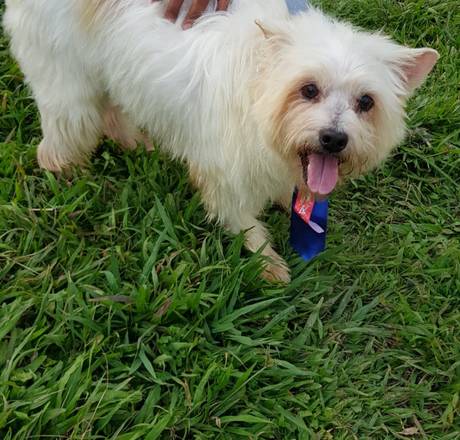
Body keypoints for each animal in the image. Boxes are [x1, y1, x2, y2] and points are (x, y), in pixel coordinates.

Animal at [3, 0, 438, 282]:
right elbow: (241, 220)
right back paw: (69, 174)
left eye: (366, 102)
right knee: (60, 139)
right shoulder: (224, 171)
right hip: (69, 89)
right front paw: (267, 262)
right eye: (308, 90)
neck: (259, 82)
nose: (333, 139)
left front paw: (294, 206)